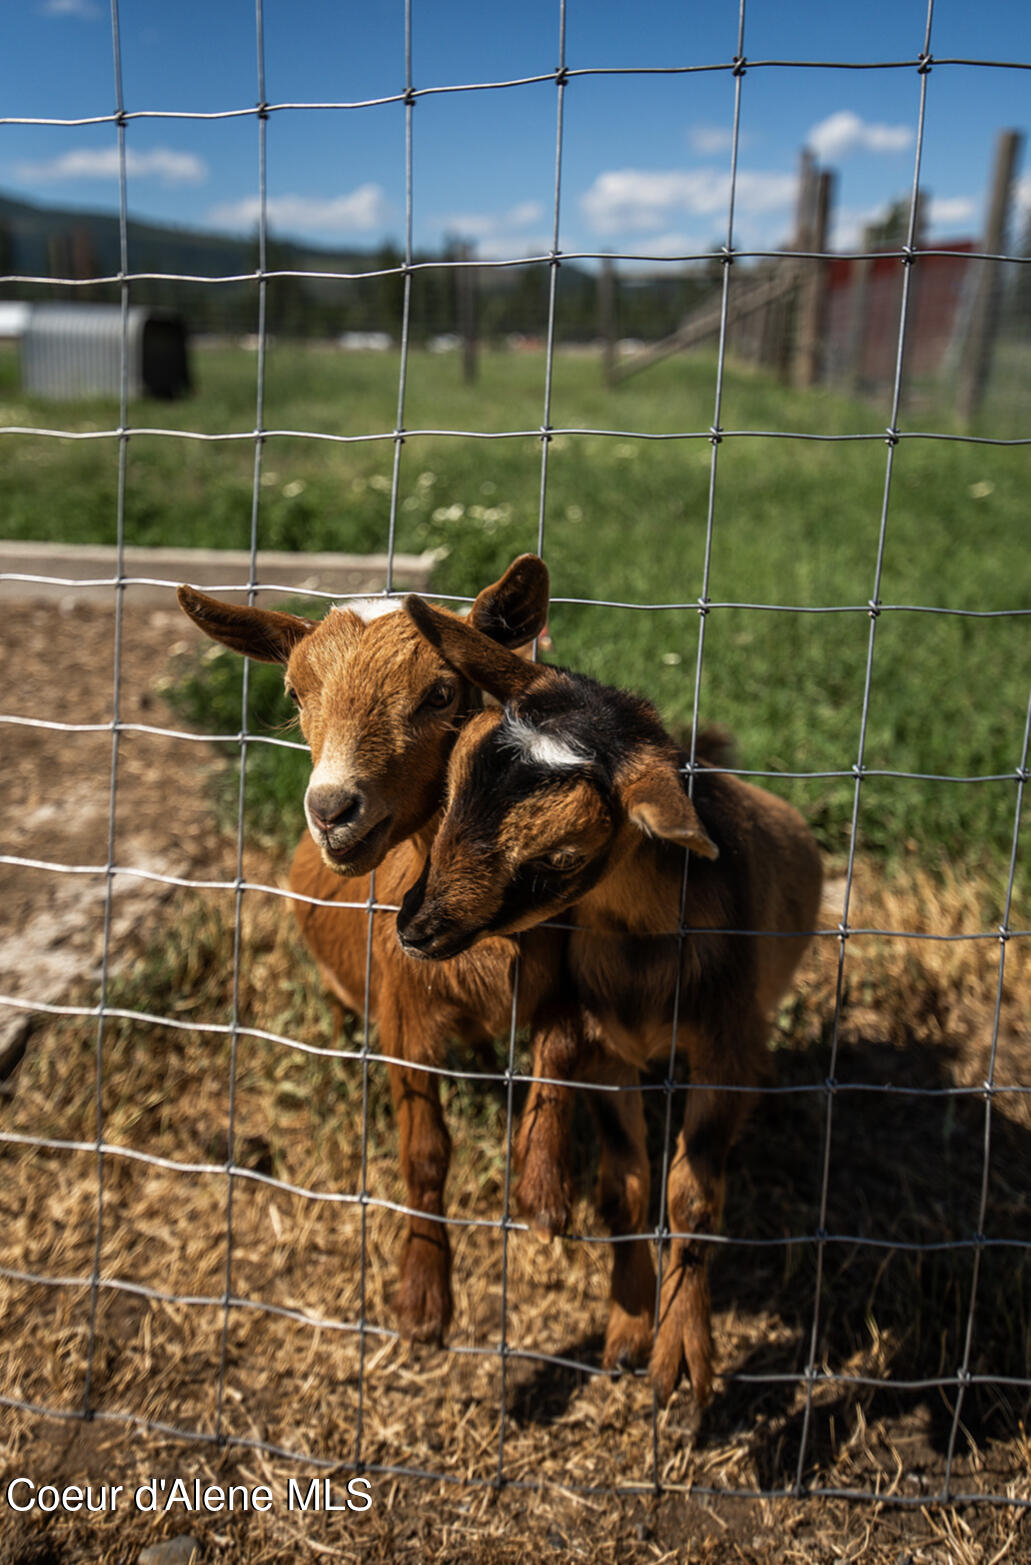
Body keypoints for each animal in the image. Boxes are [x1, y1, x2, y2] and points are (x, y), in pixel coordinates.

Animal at [177, 560, 581, 1345]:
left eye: (441, 692)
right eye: (293, 693)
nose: (332, 810)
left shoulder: (564, 967)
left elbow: (557, 1064)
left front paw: (545, 1195)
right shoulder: (401, 1013)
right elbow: (424, 1151)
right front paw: (423, 1300)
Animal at [397, 597, 819, 1408]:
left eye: (559, 861)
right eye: (449, 789)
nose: (415, 927)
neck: (643, 955)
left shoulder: (725, 1047)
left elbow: (692, 1194)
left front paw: (681, 1360)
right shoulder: (606, 1050)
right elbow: (623, 1188)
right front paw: (625, 1332)